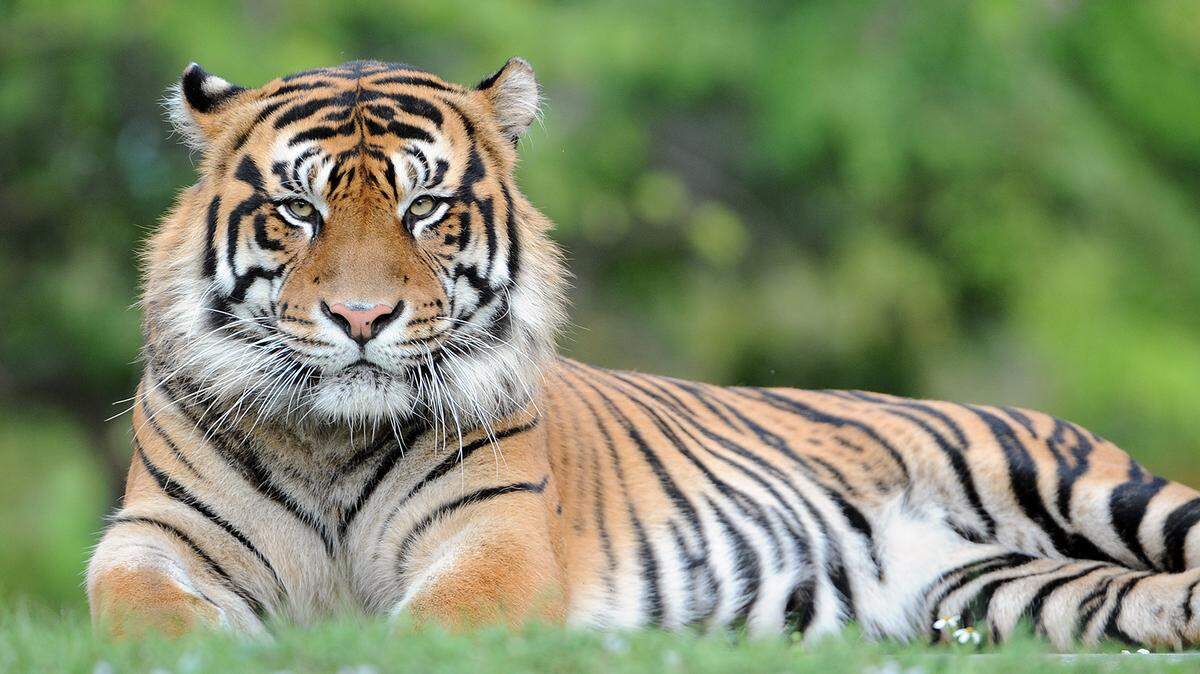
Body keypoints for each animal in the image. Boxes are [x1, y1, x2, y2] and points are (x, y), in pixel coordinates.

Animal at [86, 57, 1200, 651]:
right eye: (299, 210)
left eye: (426, 207)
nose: (363, 319)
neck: (330, 437)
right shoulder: (152, 535)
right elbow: (139, 608)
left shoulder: (495, 537)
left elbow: (437, 620)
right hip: (992, 594)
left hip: (1092, 489)